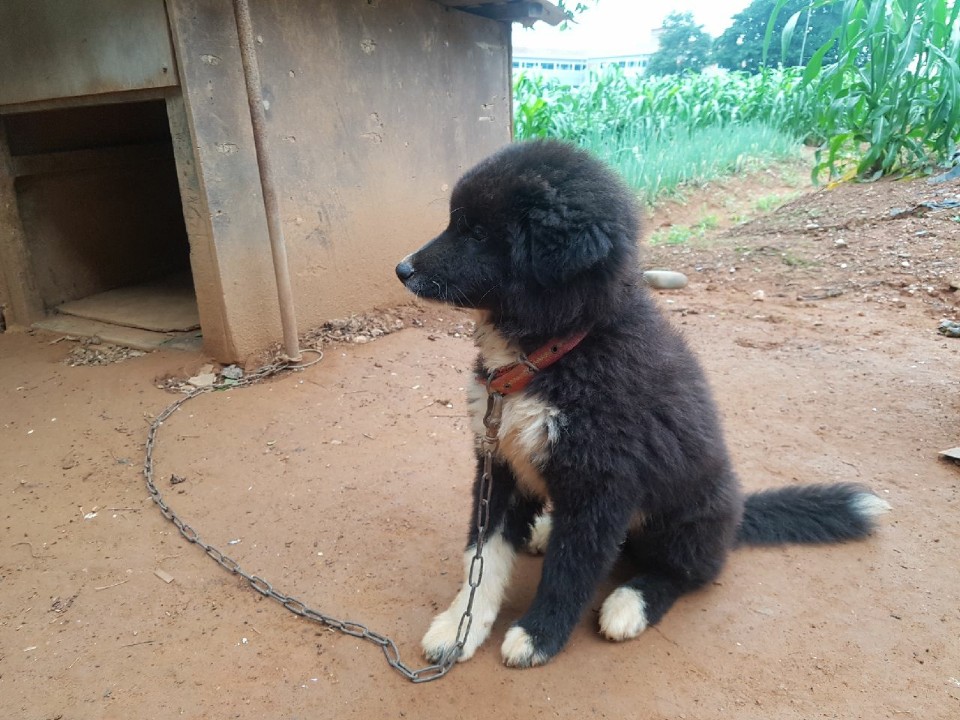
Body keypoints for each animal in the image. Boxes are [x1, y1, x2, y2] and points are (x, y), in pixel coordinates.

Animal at [395, 139, 890, 668]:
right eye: (456, 222)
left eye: (478, 232)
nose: (402, 269)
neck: (554, 352)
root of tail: (737, 513)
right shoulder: (500, 464)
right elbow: (482, 555)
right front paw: (460, 628)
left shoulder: (603, 487)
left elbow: (570, 571)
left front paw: (539, 635)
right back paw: (546, 532)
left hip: (683, 518)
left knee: (690, 572)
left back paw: (629, 603)